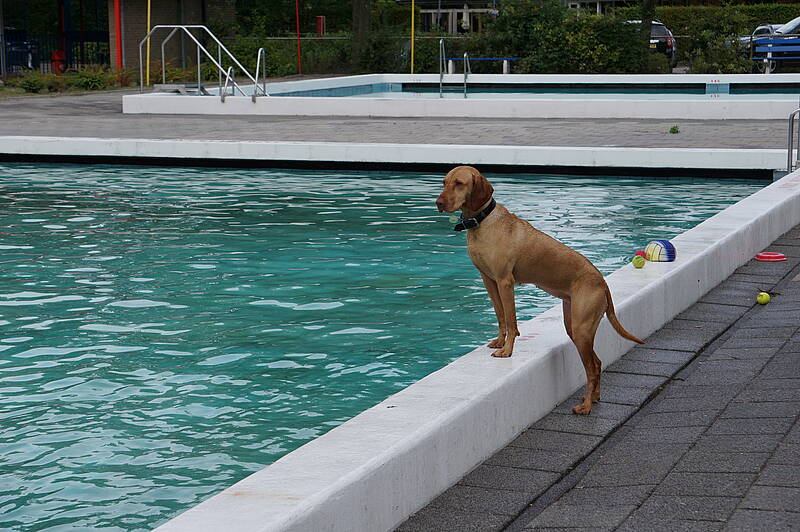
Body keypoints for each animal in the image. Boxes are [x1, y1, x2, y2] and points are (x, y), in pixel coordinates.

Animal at [436, 166, 644, 415]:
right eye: (444, 182)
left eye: (459, 183)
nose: (438, 202)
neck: (483, 223)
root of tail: (602, 282)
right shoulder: (489, 281)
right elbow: (501, 316)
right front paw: (499, 341)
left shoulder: (505, 282)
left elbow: (512, 321)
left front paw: (507, 351)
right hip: (574, 326)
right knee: (598, 362)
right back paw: (594, 398)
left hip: (581, 328)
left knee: (592, 368)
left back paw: (585, 406)